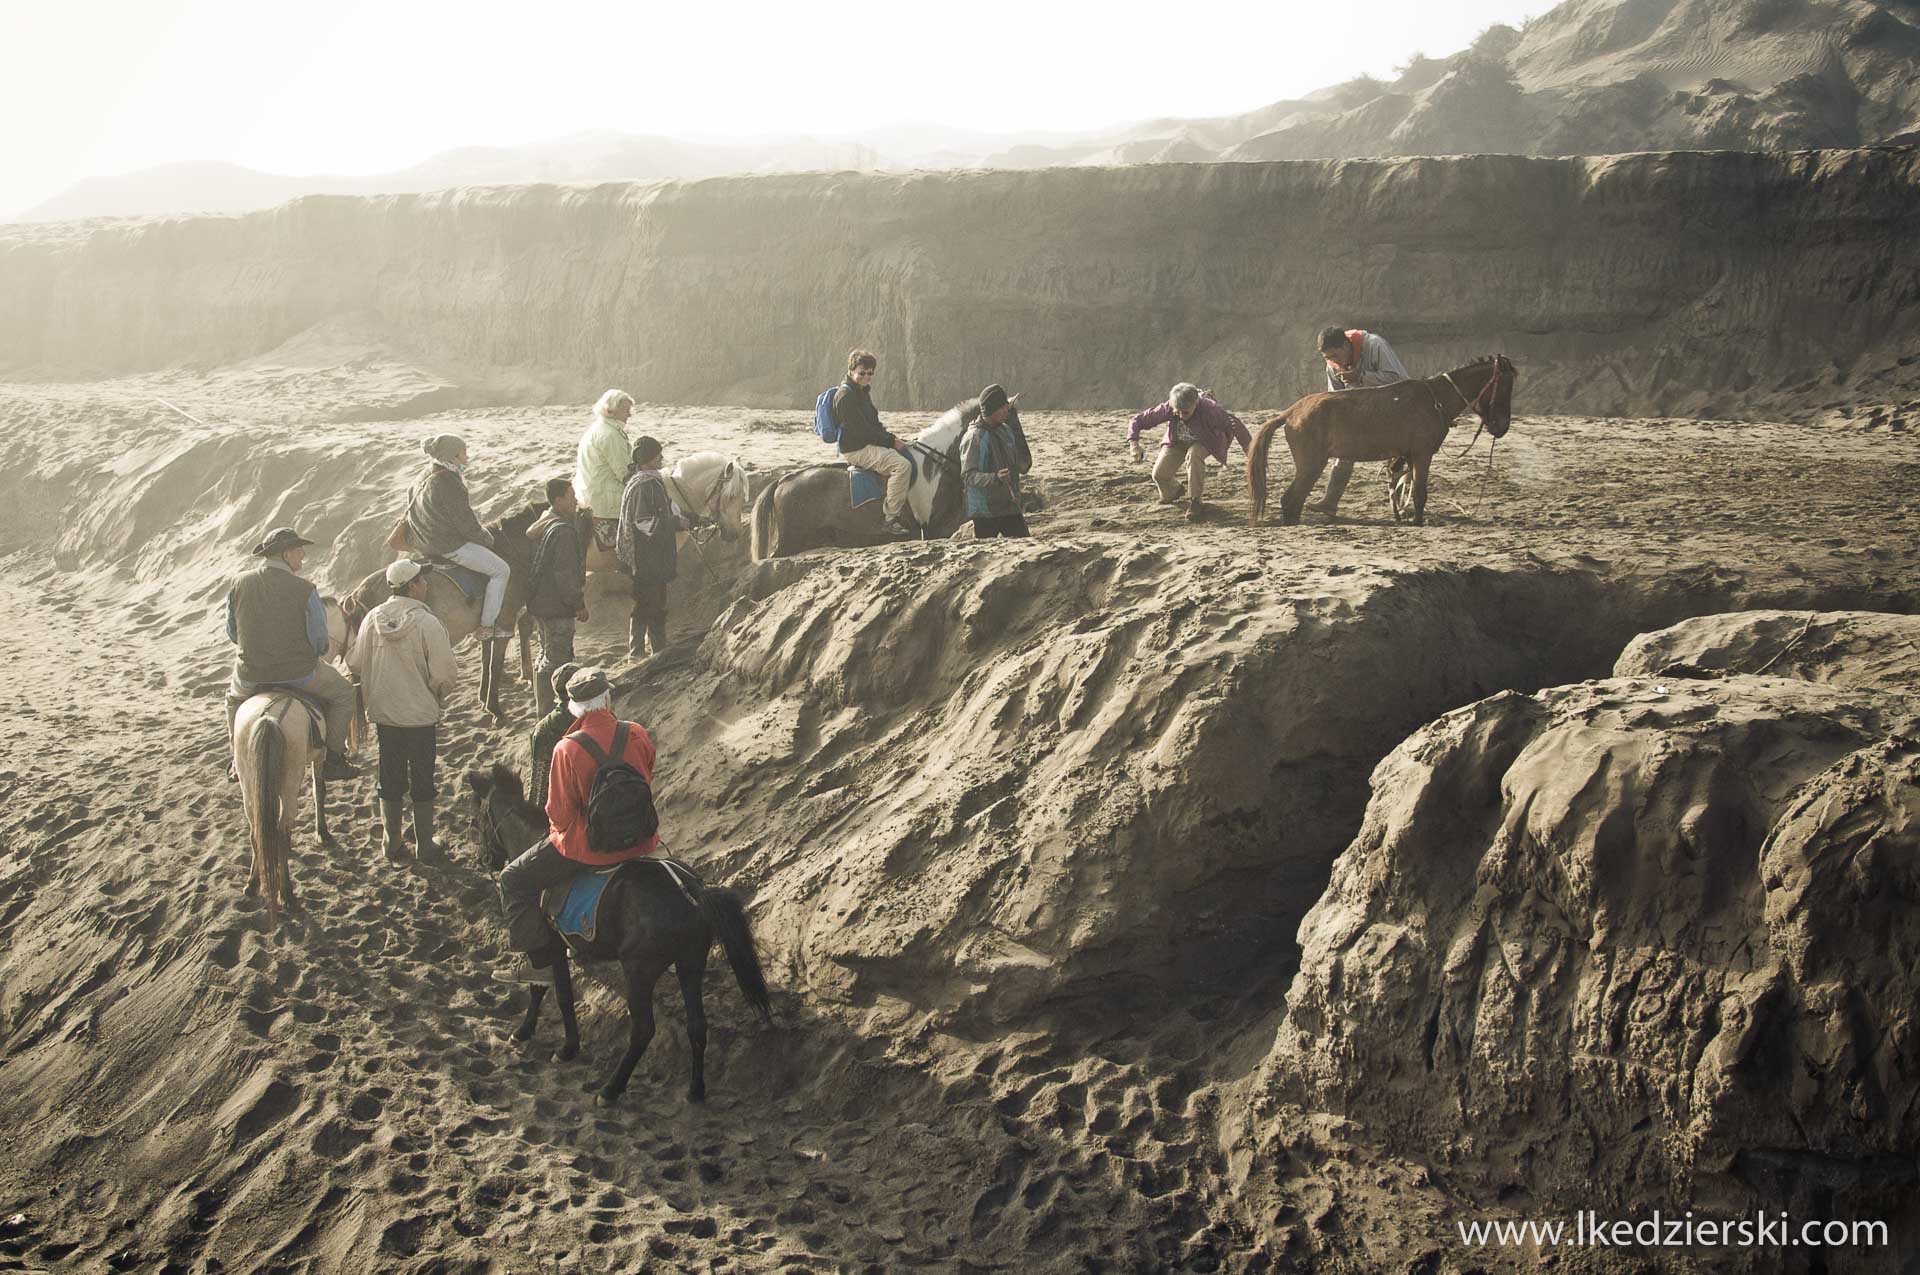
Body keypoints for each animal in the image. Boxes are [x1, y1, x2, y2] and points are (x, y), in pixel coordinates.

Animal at [464, 768, 771, 1106]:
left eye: (478, 819)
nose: (484, 859)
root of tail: (692, 891)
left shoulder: (551, 944)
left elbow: (550, 991)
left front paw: (536, 1035)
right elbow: (560, 993)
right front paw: (567, 1046)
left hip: (639, 970)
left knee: (643, 1030)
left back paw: (611, 1089)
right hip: (690, 963)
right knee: (697, 1026)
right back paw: (695, 1089)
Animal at [1244, 351, 1512, 526]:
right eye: (1503, 388)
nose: (1502, 427)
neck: (1434, 400)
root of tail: (1291, 412)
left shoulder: (1409, 457)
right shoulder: (1423, 455)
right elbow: (1420, 494)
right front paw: (1418, 523)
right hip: (1311, 465)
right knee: (1291, 500)